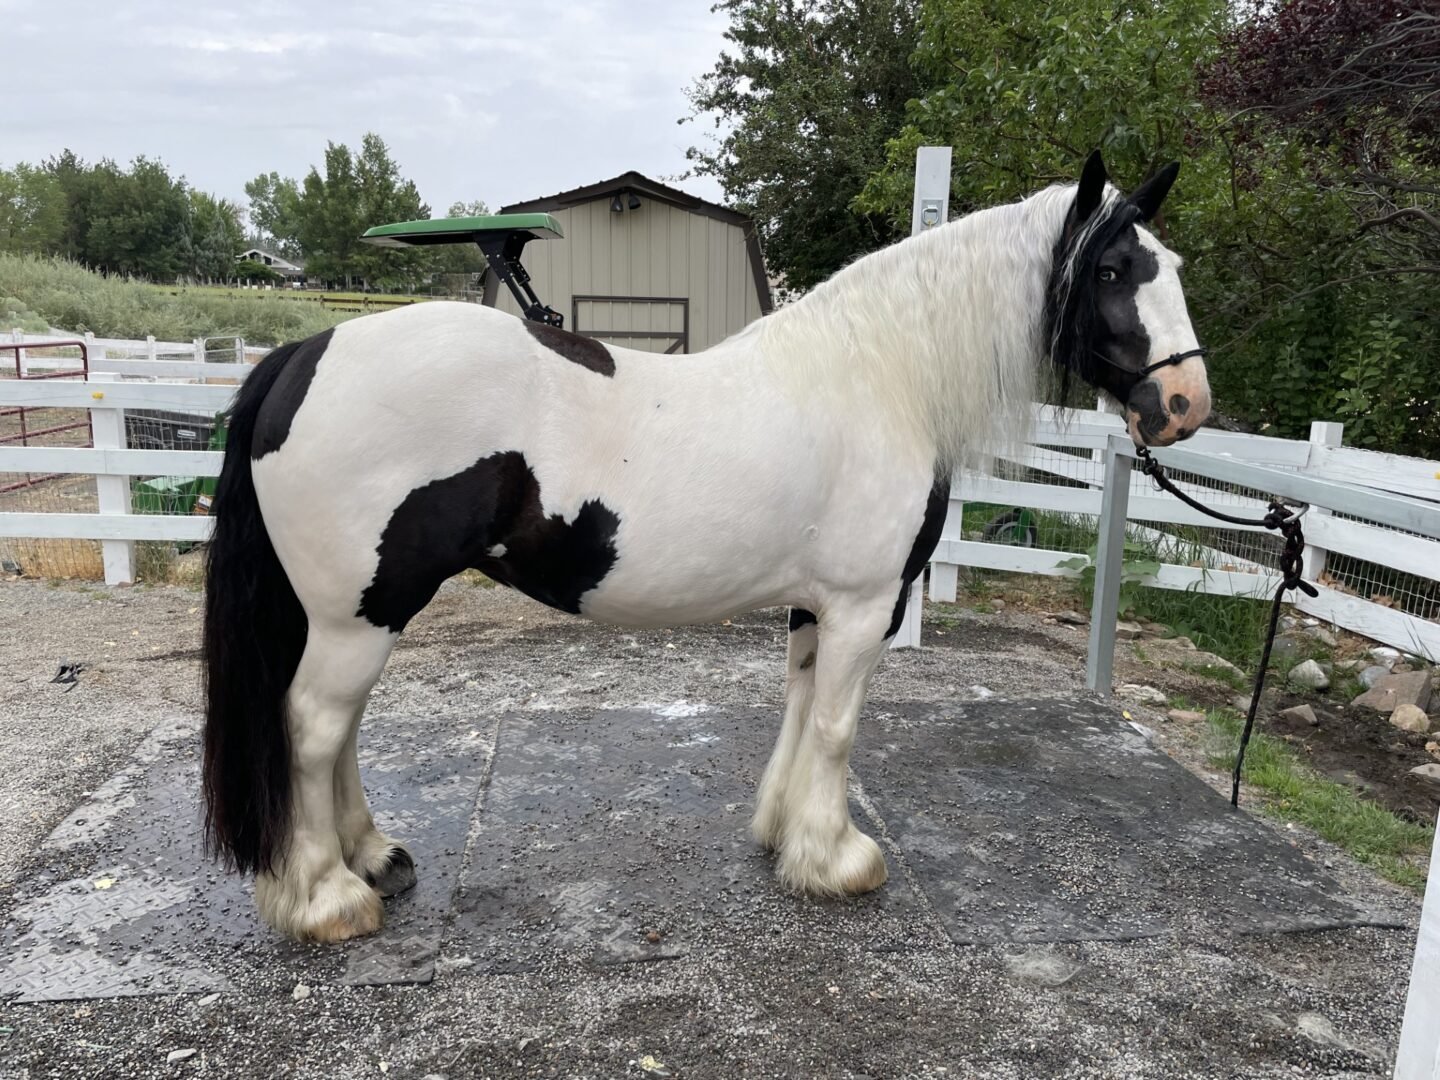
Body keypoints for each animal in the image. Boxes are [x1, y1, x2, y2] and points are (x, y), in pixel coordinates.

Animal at [203, 150, 1209, 938]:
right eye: (1113, 271)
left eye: (1169, 265)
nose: (1186, 404)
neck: (881, 381)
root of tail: (303, 354)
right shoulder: (863, 604)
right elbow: (838, 726)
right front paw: (839, 858)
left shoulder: (815, 603)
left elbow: (801, 706)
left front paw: (784, 835)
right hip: (359, 612)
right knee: (312, 726)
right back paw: (328, 898)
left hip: (357, 613)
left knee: (338, 731)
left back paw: (373, 857)